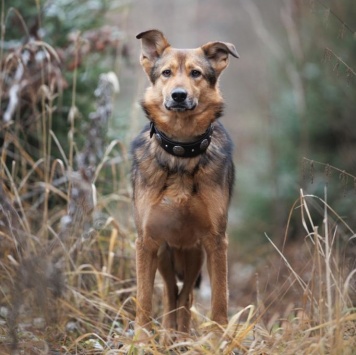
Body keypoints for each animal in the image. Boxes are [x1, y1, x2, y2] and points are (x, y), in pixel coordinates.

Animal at [131, 29, 239, 340]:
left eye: (196, 73)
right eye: (166, 73)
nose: (179, 95)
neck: (180, 150)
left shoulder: (215, 240)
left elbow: (219, 300)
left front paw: (218, 341)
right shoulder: (147, 240)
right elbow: (144, 300)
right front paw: (140, 341)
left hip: (194, 254)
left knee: (186, 294)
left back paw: (182, 336)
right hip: (166, 253)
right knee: (171, 293)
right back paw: (170, 335)